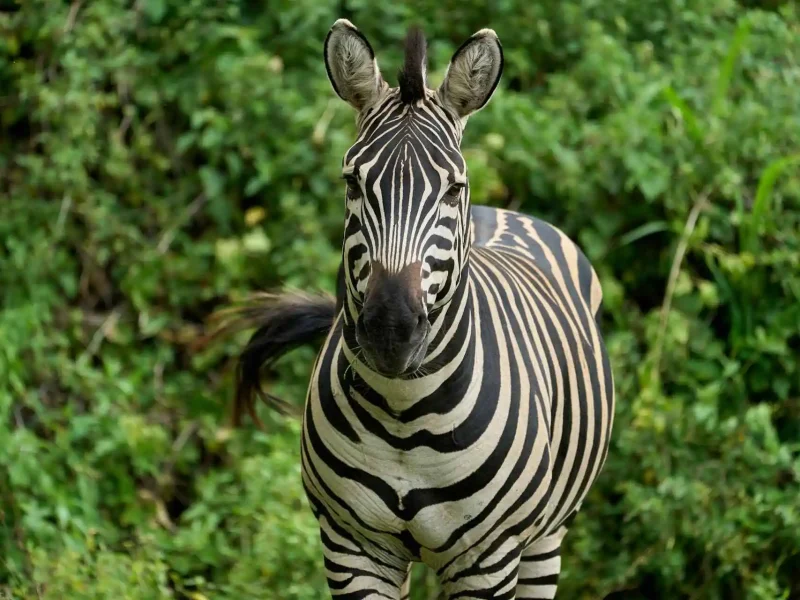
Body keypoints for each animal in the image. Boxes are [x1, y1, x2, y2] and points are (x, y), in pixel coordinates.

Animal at [226, 20, 615, 600]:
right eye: (352, 182)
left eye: (453, 188)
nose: (391, 329)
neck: (404, 415)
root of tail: (504, 213)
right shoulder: (352, 548)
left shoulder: (488, 561)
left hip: (546, 538)